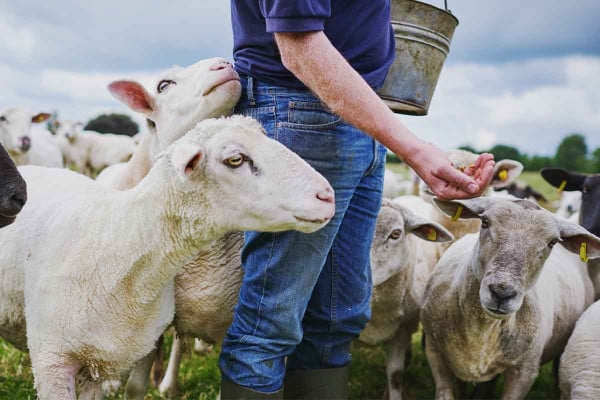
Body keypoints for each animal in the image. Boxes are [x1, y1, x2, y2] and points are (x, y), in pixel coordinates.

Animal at [420, 197, 596, 400]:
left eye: (552, 242)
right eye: (485, 222)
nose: (502, 293)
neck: (481, 332)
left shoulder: (525, 371)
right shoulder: (435, 353)